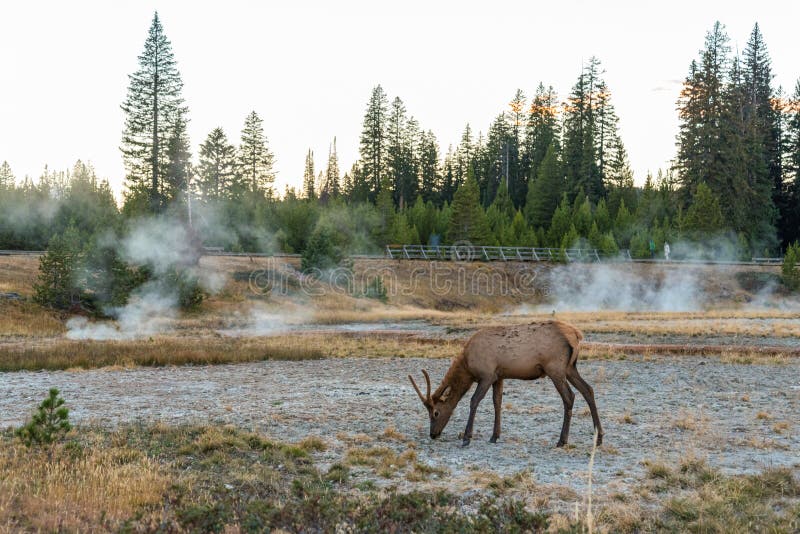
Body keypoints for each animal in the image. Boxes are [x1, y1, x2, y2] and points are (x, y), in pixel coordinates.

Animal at [410, 320, 604, 450]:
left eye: (436, 412)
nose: (433, 434)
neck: (467, 366)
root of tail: (577, 336)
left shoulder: (487, 374)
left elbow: (474, 401)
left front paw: (466, 437)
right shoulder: (499, 376)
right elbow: (497, 403)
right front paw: (494, 436)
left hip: (555, 368)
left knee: (569, 396)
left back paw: (562, 440)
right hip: (570, 368)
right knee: (588, 390)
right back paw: (599, 437)